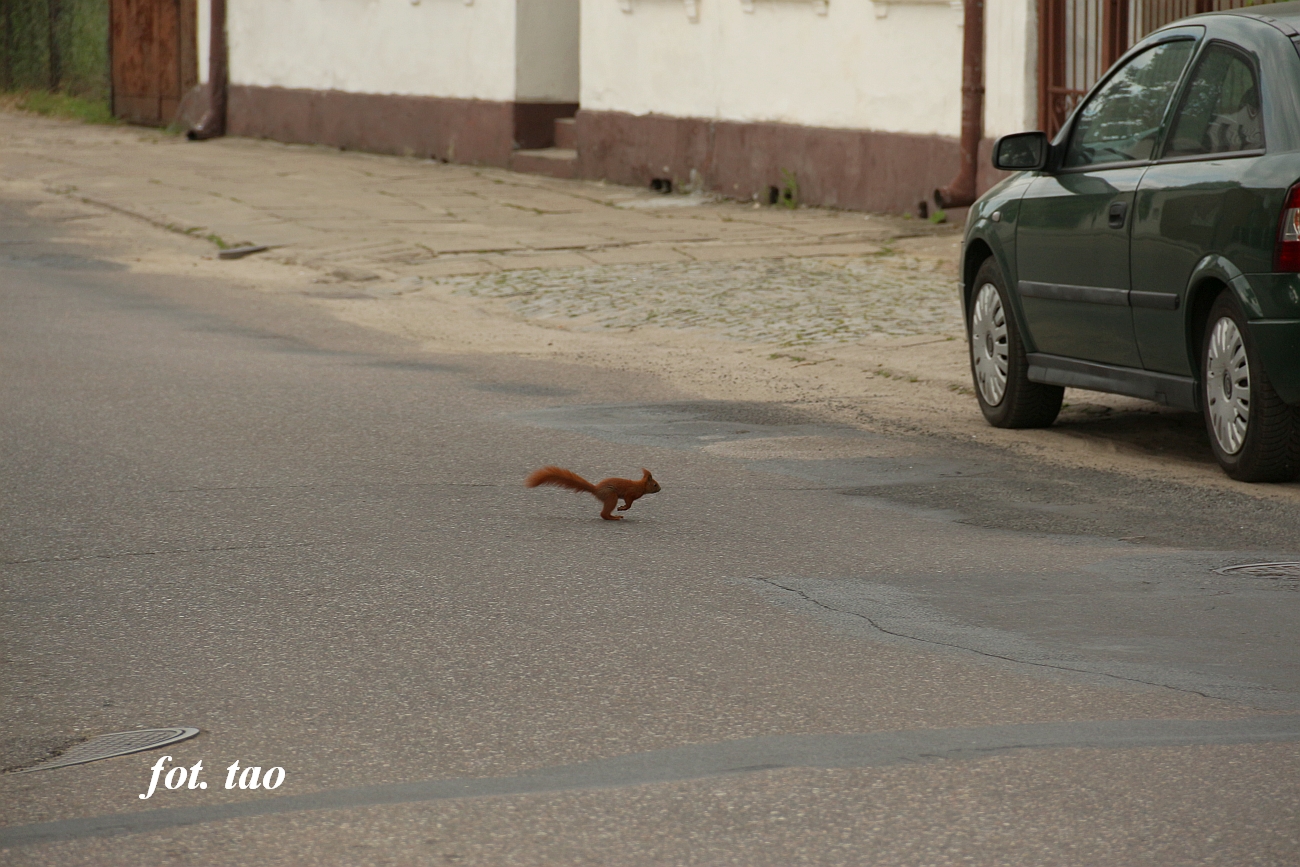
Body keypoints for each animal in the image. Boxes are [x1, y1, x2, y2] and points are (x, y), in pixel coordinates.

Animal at [525, 467, 660, 522]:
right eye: (655, 485)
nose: (660, 489)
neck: (640, 486)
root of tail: (596, 490)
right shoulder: (630, 493)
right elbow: (629, 502)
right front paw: (623, 508)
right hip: (611, 496)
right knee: (604, 514)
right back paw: (615, 517)